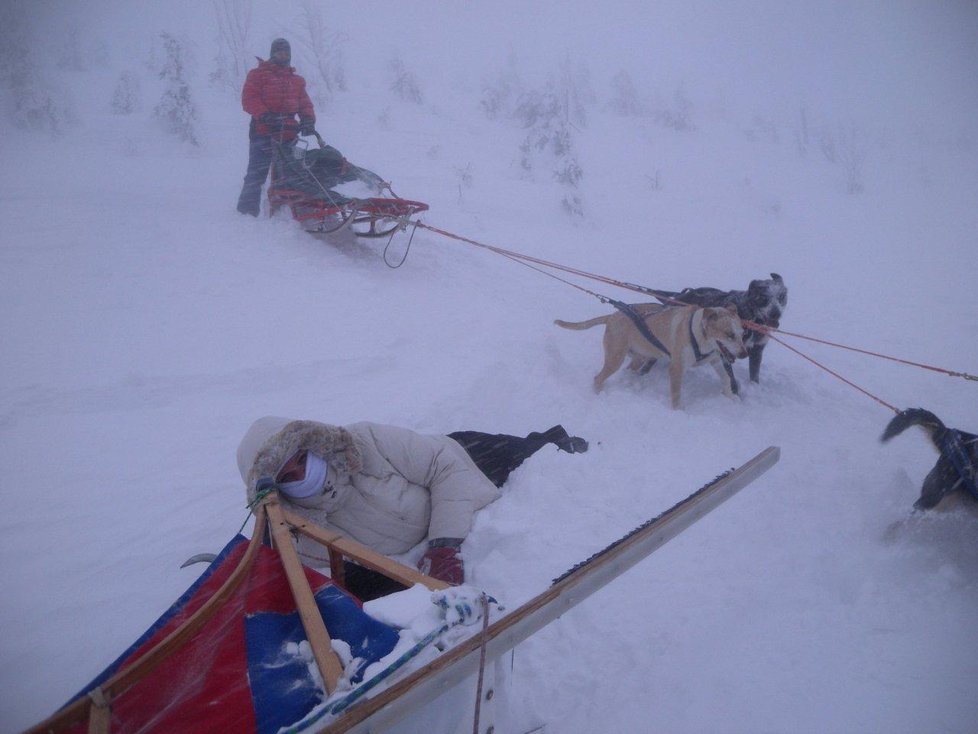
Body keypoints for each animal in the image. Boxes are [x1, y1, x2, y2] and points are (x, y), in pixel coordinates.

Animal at [552, 302, 744, 412]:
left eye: (742, 334)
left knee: (630, 369)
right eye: (729, 334)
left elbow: (726, 378)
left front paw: (730, 396)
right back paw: (598, 393)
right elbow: (676, 394)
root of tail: (612, 316)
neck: (700, 334)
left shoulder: (716, 359)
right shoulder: (676, 368)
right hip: (615, 358)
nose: (745, 353)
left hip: (638, 357)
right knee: (597, 378)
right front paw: (679, 412)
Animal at [652, 270, 788, 386]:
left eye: (781, 297)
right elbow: (731, 378)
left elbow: (754, 375)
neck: (750, 318)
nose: (776, 313)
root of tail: (678, 297)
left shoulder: (757, 350)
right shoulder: (726, 349)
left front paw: (754, 386)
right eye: (764, 297)